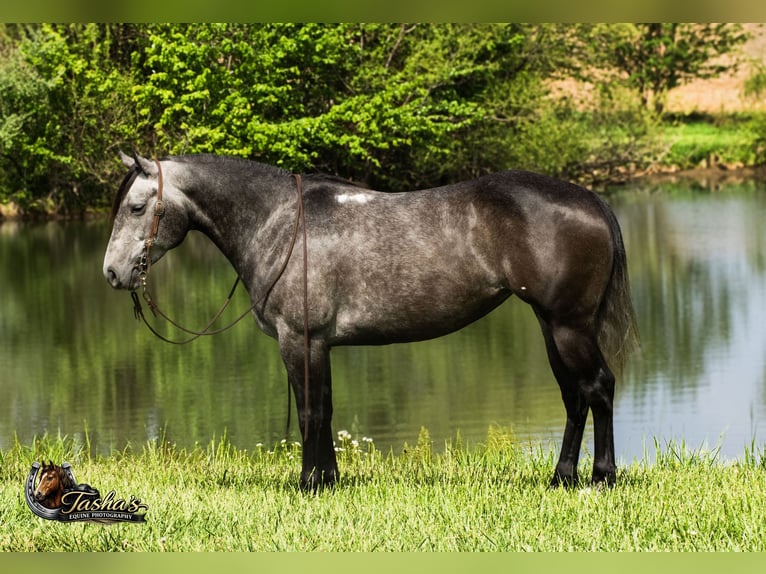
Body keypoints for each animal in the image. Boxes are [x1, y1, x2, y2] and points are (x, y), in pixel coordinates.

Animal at [103, 152, 639, 490]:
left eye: (136, 207)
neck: (280, 221)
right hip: (552, 326)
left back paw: (601, 477)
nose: (111, 273)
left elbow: (309, 413)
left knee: (598, 387)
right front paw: (329, 480)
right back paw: (562, 477)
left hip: (569, 326)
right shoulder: (319, 345)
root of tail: (590, 199)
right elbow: (326, 410)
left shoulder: (299, 341)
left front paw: (308, 484)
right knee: (574, 396)